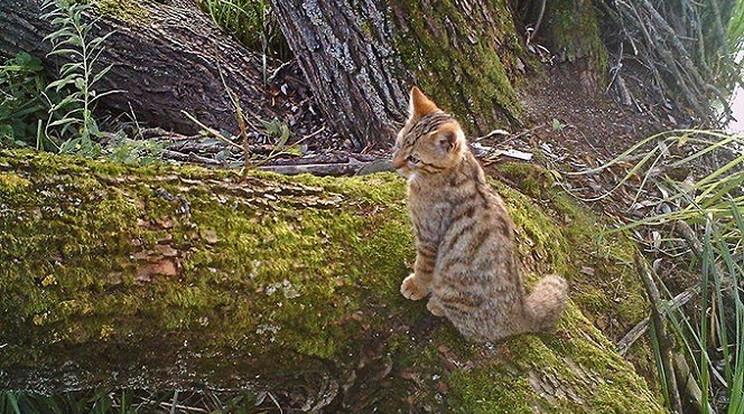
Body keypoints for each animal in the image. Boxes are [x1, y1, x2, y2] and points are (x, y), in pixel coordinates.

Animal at [392, 85, 568, 342]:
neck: (456, 169)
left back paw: (437, 305)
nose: (395, 164)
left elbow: (424, 267)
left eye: (414, 158)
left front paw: (417, 285)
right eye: (398, 144)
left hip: (453, 287)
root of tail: (521, 314)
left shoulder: (429, 236)